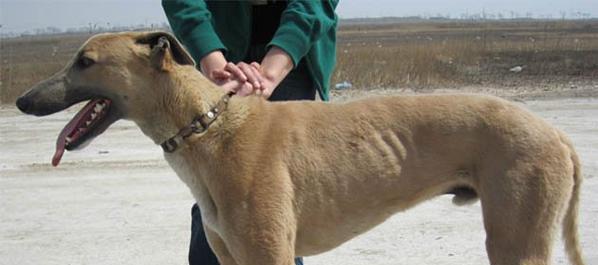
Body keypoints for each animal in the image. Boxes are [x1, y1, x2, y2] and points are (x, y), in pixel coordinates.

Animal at [17, 32, 584, 264]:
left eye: (85, 61)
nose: (21, 100)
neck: (210, 126)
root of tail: (557, 133)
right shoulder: (233, 258)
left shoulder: (269, 255)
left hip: (517, 243)